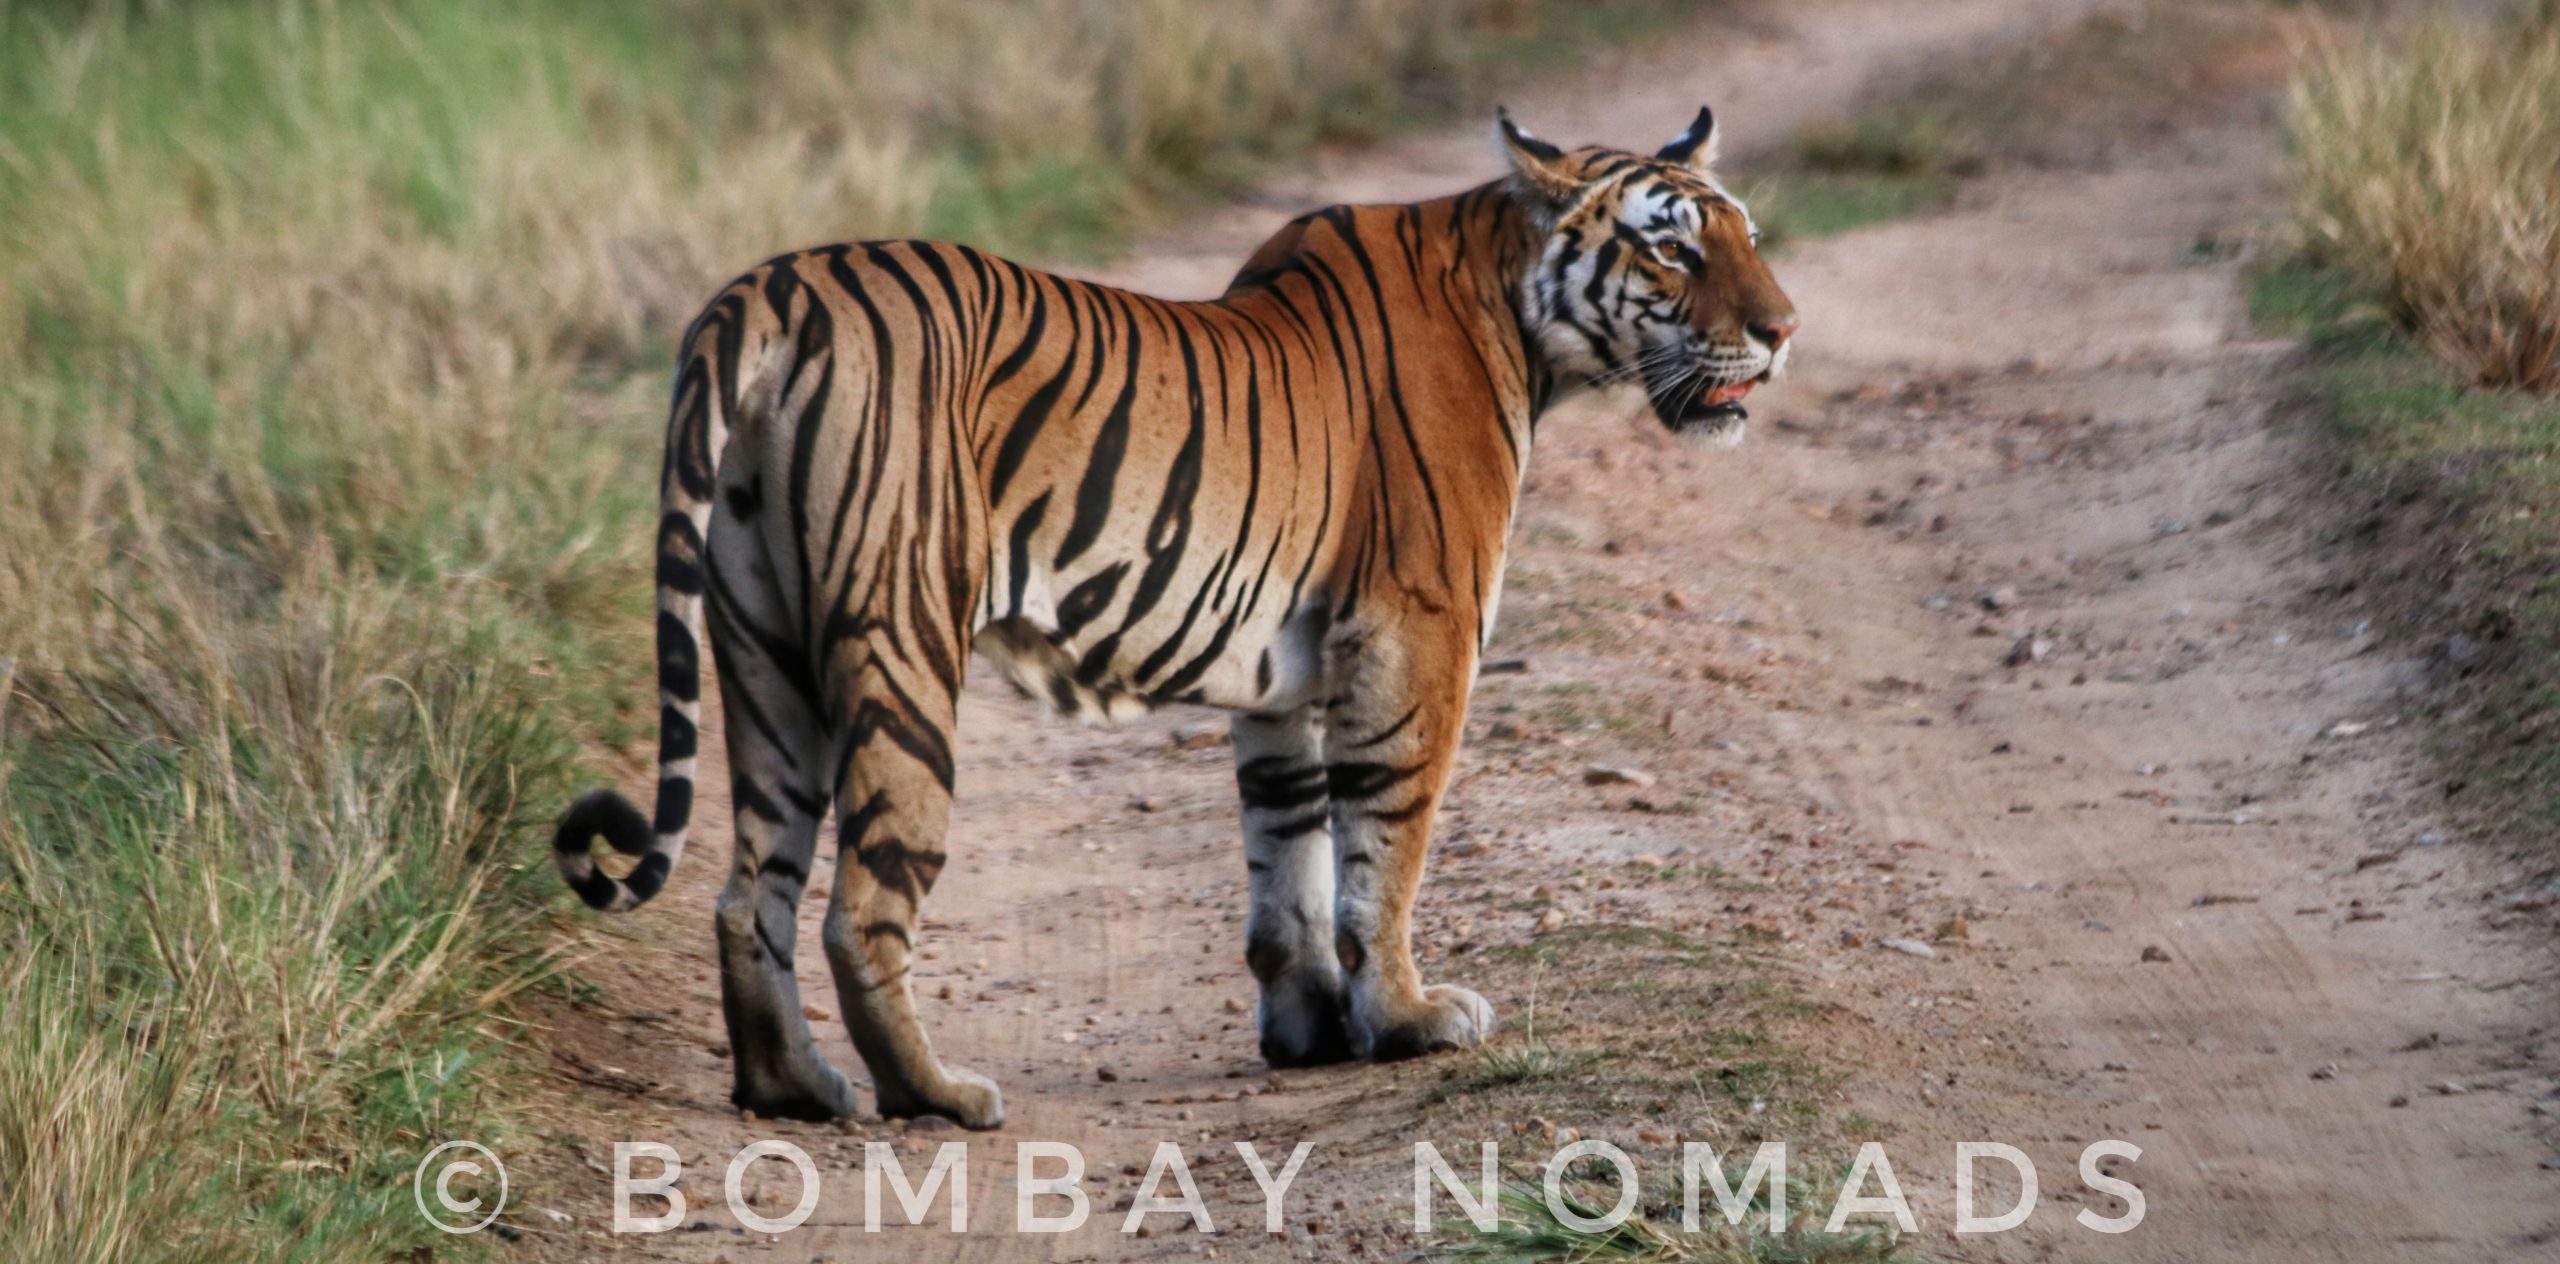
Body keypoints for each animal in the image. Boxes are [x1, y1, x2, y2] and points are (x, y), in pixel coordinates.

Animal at [560, 103, 1802, 1120]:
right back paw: (939, 1095)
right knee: (858, 901)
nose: (1783, 329)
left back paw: (796, 1087)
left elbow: (1291, 849)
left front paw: (1314, 1028)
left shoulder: (1288, 671)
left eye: (1747, 236)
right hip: (897, 640)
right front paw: (1409, 1018)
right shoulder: (1419, 633)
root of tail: (769, 288)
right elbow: (1386, 843)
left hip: (762, 647)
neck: (1515, 307)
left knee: (748, 891)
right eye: (1673, 246)